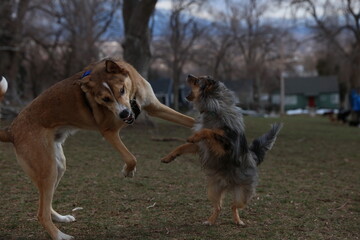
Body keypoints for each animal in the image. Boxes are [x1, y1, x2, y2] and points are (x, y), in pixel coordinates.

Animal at [0, 58, 194, 240]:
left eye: (121, 90)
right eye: (106, 99)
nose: (124, 114)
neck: (132, 96)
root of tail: (11, 130)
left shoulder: (155, 107)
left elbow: (190, 121)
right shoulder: (109, 131)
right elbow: (131, 158)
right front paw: (127, 171)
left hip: (57, 166)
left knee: (44, 204)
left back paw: (60, 218)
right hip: (48, 170)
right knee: (41, 213)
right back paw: (59, 235)